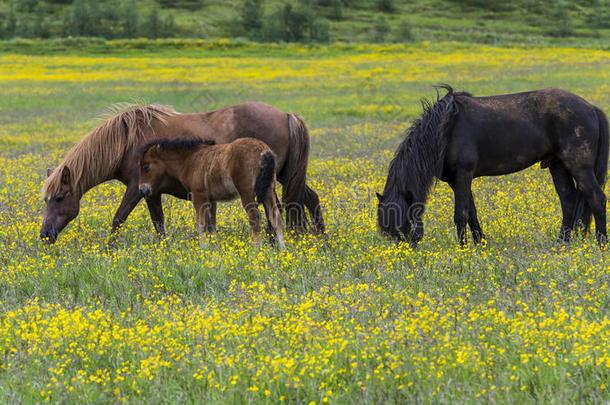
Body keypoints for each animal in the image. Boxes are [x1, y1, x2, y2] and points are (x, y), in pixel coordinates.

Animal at [139, 137, 284, 248]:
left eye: (146, 167)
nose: (142, 189)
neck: (190, 159)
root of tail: (263, 150)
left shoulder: (199, 197)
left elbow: (201, 225)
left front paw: (203, 250)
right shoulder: (211, 200)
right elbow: (211, 226)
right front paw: (214, 249)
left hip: (247, 192)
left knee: (255, 217)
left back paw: (256, 249)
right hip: (269, 190)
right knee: (276, 216)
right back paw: (283, 250)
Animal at [378, 85, 604, 246]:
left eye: (404, 226)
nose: (406, 256)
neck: (446, 129)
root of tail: (591, 108)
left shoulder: (463, 174)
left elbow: (460, 215)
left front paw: (463, 250)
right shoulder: (456, 180)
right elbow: (472, 213)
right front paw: (480, 245)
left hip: (579, 167)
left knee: (597, 199)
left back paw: (601, 244)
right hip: (558, 166)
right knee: (568, 202)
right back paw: (561, 244)